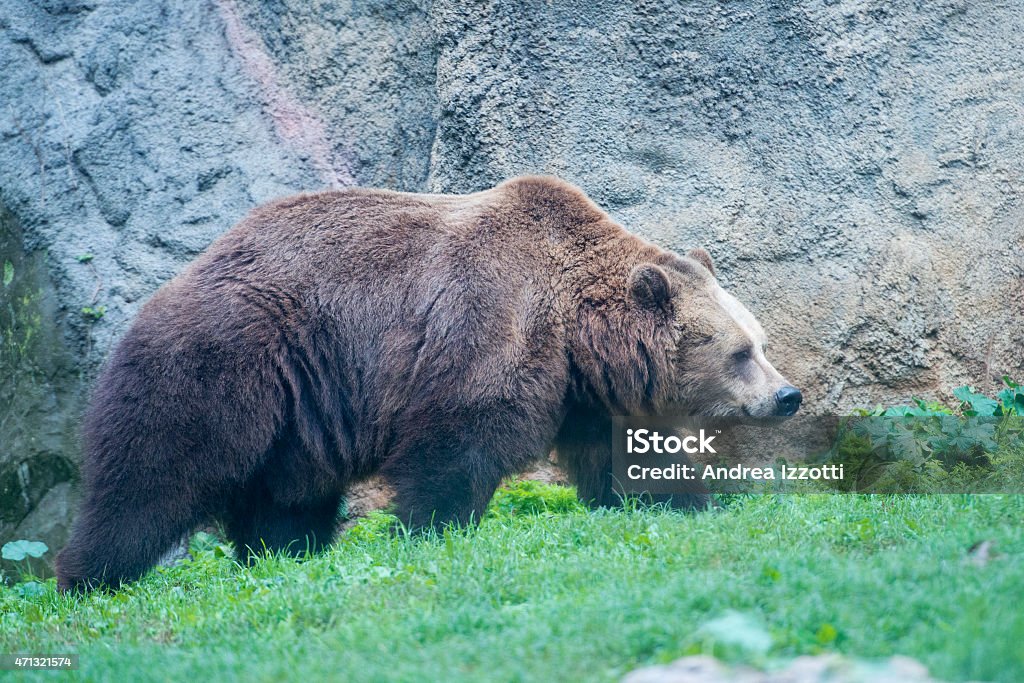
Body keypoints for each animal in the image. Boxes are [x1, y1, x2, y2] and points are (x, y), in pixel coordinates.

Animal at [54, 176, 798, 593]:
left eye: (759, 340)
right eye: (739, 351)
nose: (787, 395)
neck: (578, 328)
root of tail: (165, 289)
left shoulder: (590, 391)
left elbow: (630, 460)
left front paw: (686, 504)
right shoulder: (488, 320)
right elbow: (458, 440)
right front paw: (432, 528)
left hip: (299, 413)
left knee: (284, 498)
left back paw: (283, 555)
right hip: (227, 363)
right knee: (151, 476)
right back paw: (88, 576)